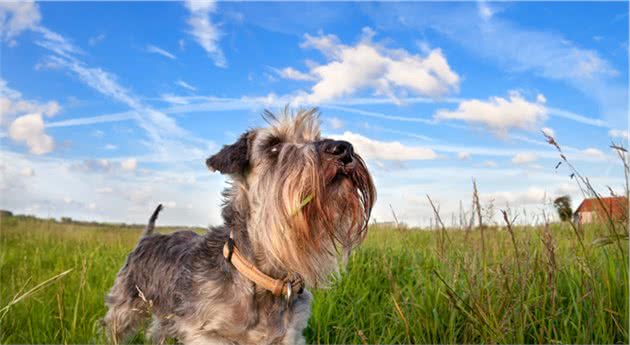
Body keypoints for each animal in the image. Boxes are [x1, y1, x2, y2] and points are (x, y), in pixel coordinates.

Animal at [103, 108, 376, 344]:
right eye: (274, 145)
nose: (344, 148)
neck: (263, 277)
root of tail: (147, 237)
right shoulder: (208, 335)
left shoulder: (289, 335)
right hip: (124, 309)